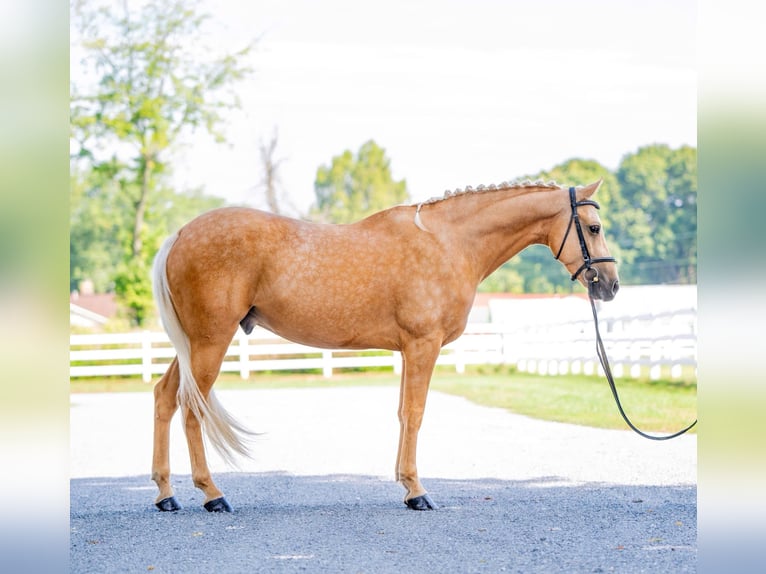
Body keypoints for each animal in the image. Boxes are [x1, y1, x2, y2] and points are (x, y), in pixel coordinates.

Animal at [152, 179, 624, 512]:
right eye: (594, 227)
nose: (610, 285)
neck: (449, 243)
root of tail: (180, 234)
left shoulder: (408, 350)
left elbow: (401, 414)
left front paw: (404, 483)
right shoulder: (423, 345)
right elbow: (415, 414)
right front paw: (418, 492)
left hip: (192, 345)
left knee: (164, 397)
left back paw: (166, 495)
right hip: (211, 341)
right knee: (191, 406)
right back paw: (212, 495)